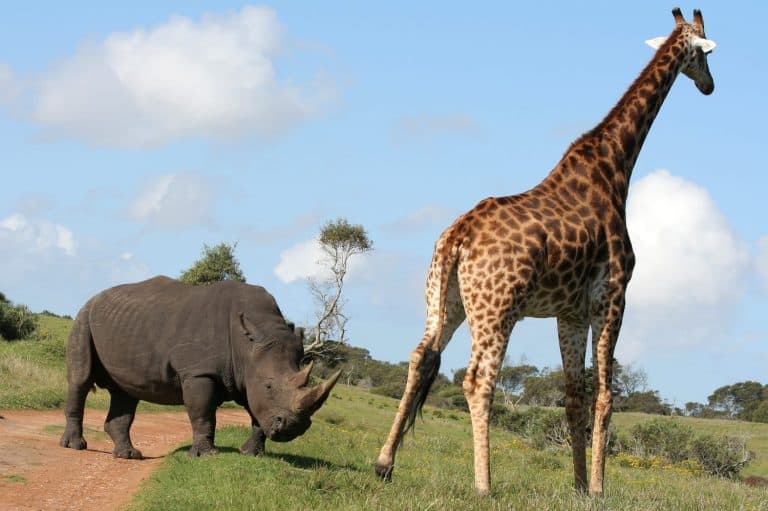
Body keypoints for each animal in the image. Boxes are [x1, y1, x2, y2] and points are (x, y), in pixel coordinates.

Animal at [60, 276, 340, 459]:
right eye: (269, 385)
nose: (293, 428)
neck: (249, 344)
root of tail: (95, 298)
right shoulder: (198, 371)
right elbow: (203, 412)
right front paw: (207, 455)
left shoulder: (246, 373)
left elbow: (256, 413)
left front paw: (251, 454)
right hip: (83, 317)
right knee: (80, 380)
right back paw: (75, 446)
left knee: (126, 392)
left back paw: (128, 455)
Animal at [376, 8, 716, 497]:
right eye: (705, 51)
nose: (710, 85)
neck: (616, 167)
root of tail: (458, 235)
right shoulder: (612, 296)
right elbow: (604, 394)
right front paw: (598, 488)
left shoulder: (568, 312)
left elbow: (573, 396)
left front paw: (578, 485)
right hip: (497, 309)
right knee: (478, 380)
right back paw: (484, 484)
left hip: (446, 298)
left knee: (420, 356)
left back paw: (384, 463)